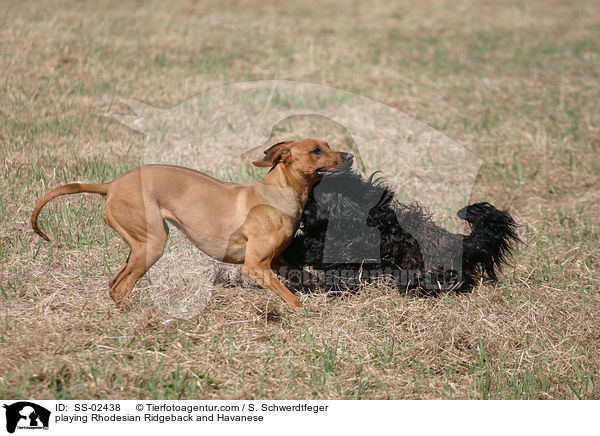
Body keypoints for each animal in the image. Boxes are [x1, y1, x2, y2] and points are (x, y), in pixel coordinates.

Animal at [31, 140, 352, 306]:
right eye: (316, 150)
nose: (349, 155)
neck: (278, 193)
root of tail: (111, 185)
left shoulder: (275, 262)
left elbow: (306, 277)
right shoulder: (256, 266)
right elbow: (292, 299)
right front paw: (305, 314)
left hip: (139, 246)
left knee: (114, 283)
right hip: (152, 243)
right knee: (120, 288)